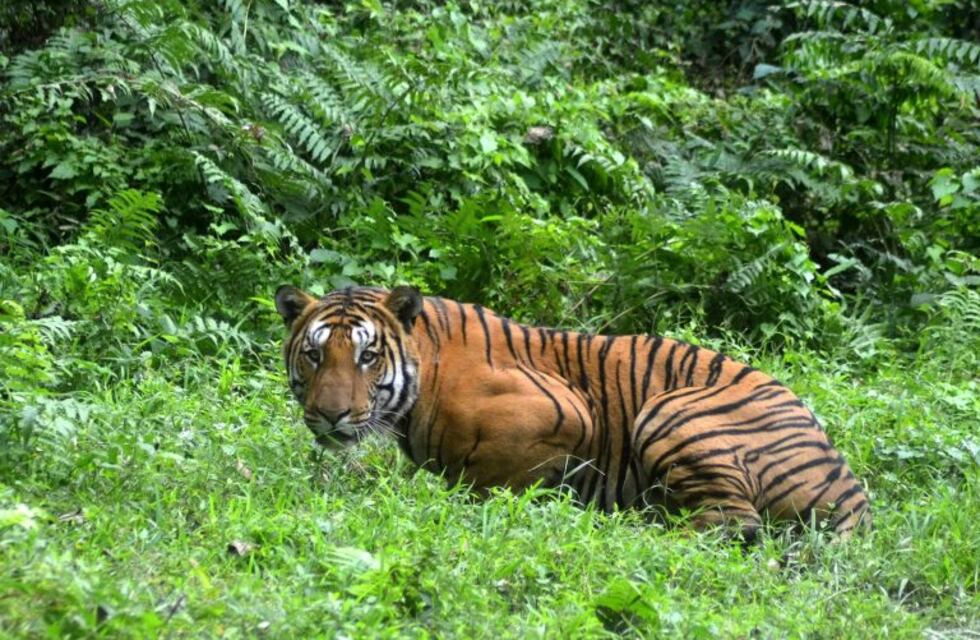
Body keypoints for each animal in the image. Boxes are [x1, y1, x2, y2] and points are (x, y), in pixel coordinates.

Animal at [274, 284, 871, 540]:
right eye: (315, 354)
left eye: (367, 356)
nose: (330, 415)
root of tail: (851, 488)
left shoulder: (565, 411)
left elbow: (489, 479)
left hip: (670, 409)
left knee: (733, 524)